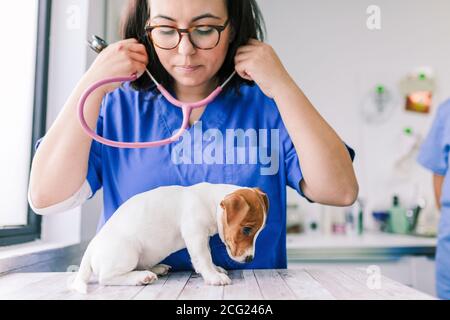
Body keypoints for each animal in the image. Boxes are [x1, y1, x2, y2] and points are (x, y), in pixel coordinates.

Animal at [70, 181, 268, 294]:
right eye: (247, 230)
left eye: (259, 231)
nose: (250, 259)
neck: (209, 201)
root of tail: (91, 247)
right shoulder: (195, 235)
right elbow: (204, 258)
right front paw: (213, 276)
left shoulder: (201, 237)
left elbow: (207, 257)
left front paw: (215, 269)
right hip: (127, 253)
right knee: (107, 278)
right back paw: (141, 277)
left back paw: (156, 269)